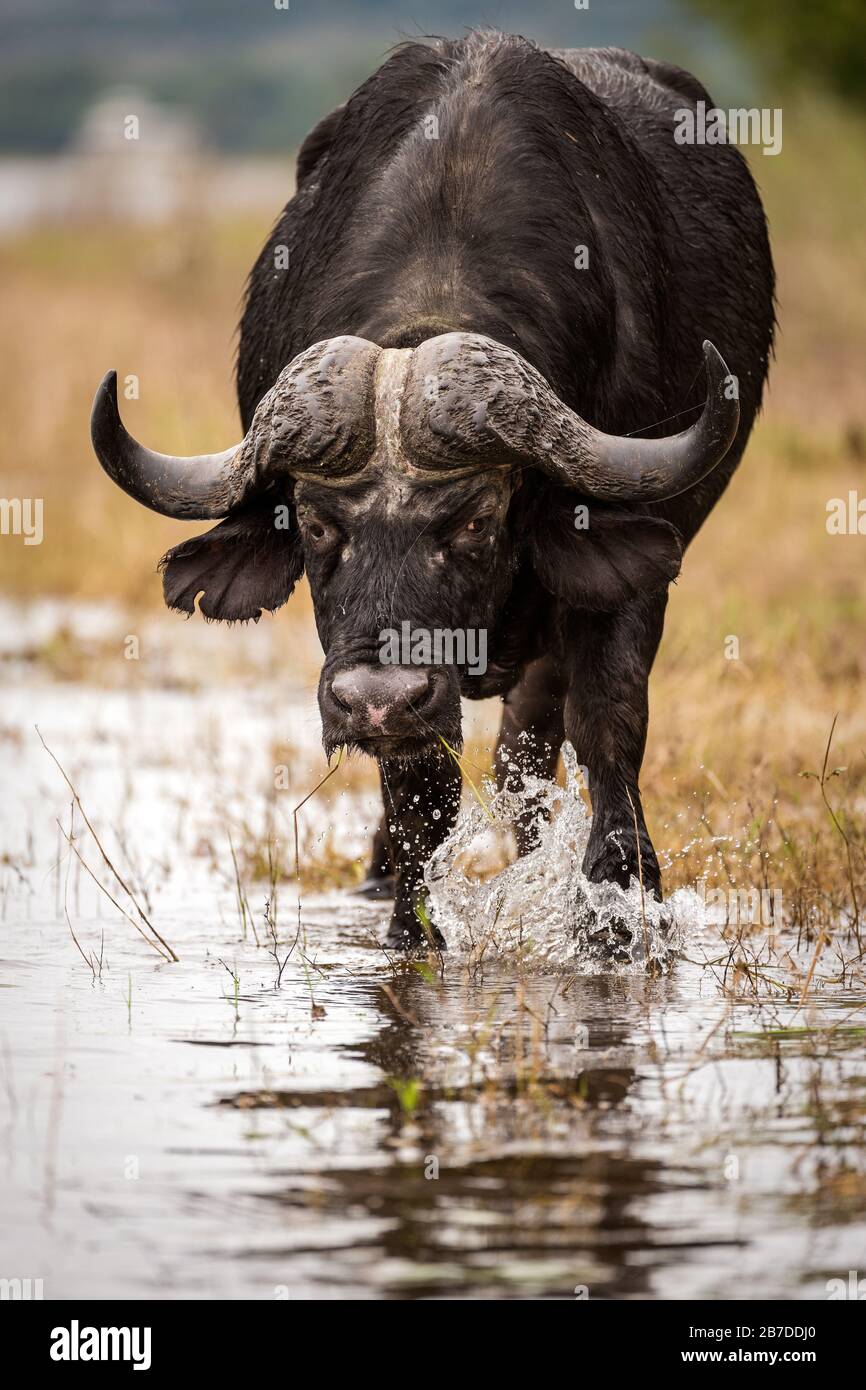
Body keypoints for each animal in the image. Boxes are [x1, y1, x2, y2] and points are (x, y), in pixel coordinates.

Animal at [91, 32, 778, 950]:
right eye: (315, 525)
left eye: (478, 521)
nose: (378, 702)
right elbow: (422, 790)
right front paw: (412, 924)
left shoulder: (628, 570)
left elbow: (610, 725)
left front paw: (619, 909)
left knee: (531, 741)